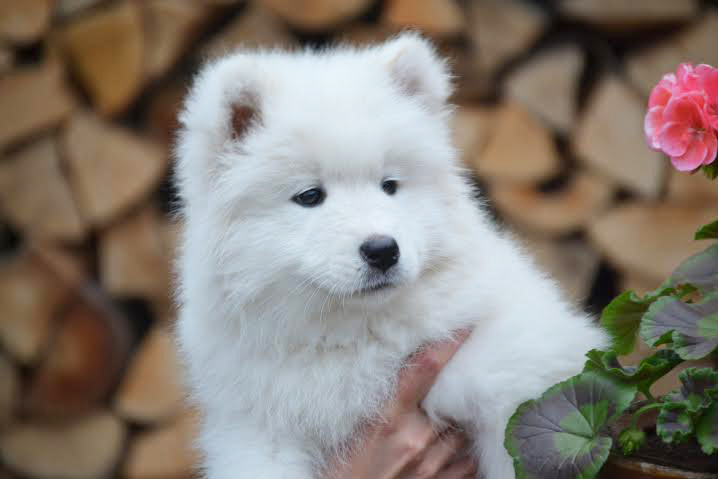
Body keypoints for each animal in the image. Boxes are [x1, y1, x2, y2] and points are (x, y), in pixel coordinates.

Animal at [174, 31, 608, 478]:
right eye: (309, 196)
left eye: (390, 186)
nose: (383, 250)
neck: (355, 334)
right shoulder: (255, 432)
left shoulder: (515, 377)